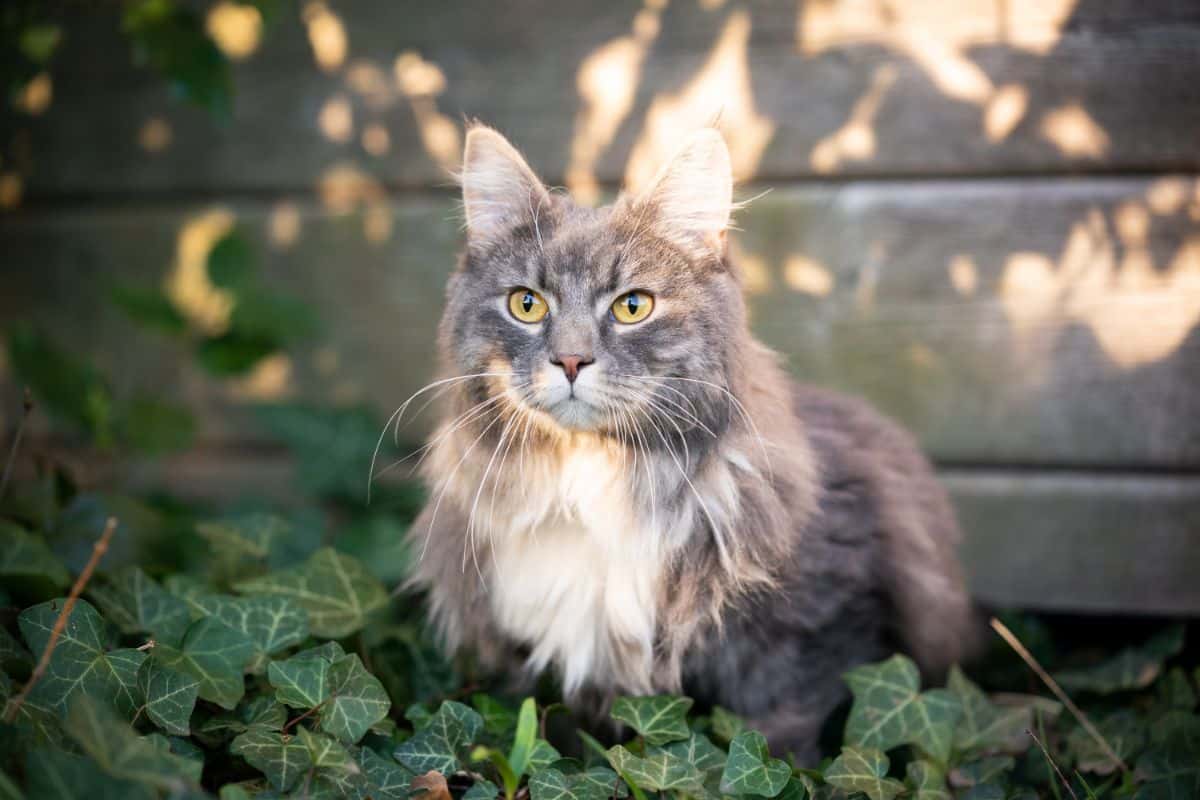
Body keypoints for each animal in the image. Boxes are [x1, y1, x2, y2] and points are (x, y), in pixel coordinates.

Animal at [400, 122, 974, 762]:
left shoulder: (813, 629)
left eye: (633, 307)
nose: (570, 360)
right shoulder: (538, 669)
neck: (590, 483)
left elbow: (780, 738)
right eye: (527, 304)